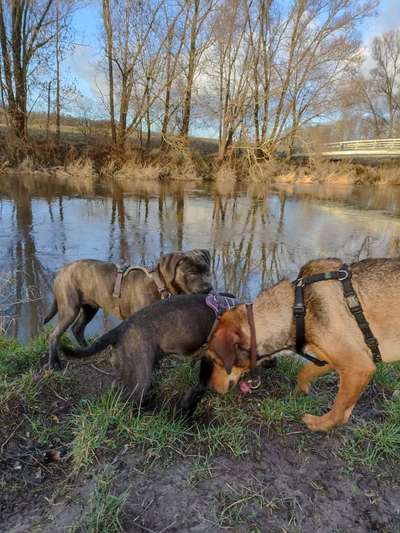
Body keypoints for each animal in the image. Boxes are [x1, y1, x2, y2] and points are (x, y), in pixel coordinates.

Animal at [43, 250, 212, 370]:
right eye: (191, 273)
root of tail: (61, 271)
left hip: (90, 307)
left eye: (207, 271)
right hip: (70, 308)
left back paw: (87, 349)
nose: (208, 288)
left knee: (78, 328)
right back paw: (54, 363)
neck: (159, 284)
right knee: (54, 335)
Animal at [206, 258, 400, 432]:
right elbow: (305, 372)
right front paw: (302, 390)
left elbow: (339, 408)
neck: (298, 309)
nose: (212, 388)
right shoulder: (329, 360)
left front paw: (320, 425)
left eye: (217, 361)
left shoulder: (358, 366)